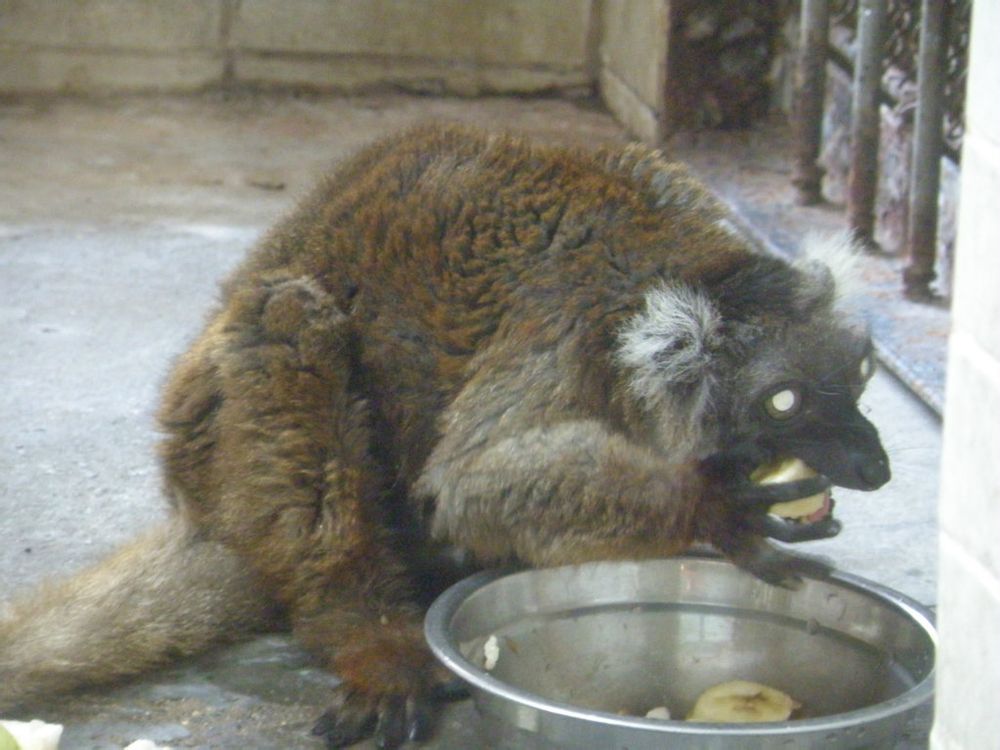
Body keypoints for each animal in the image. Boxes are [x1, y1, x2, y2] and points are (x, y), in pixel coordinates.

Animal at [0, 124, 889, 748]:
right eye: (783, 402)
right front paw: (712, 507)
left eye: (862, 376)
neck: (684, 263)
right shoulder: (568, 332)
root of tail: (198, 505)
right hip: (211, 444)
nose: (874, 463)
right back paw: (368, 631)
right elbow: (470, 485)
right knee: (291, 319)